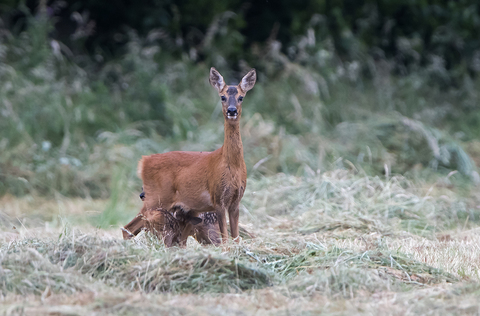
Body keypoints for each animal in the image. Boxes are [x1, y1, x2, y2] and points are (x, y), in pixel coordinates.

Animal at [125, 68, 256, 243]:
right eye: (222, 97)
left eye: (241, 97)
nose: (232, 111)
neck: (231, 164)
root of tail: (144, 161)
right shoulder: (218, 198)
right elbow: (225, 239)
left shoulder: (236, 201)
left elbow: (235, 237)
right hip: (155, 198)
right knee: (128, 228)